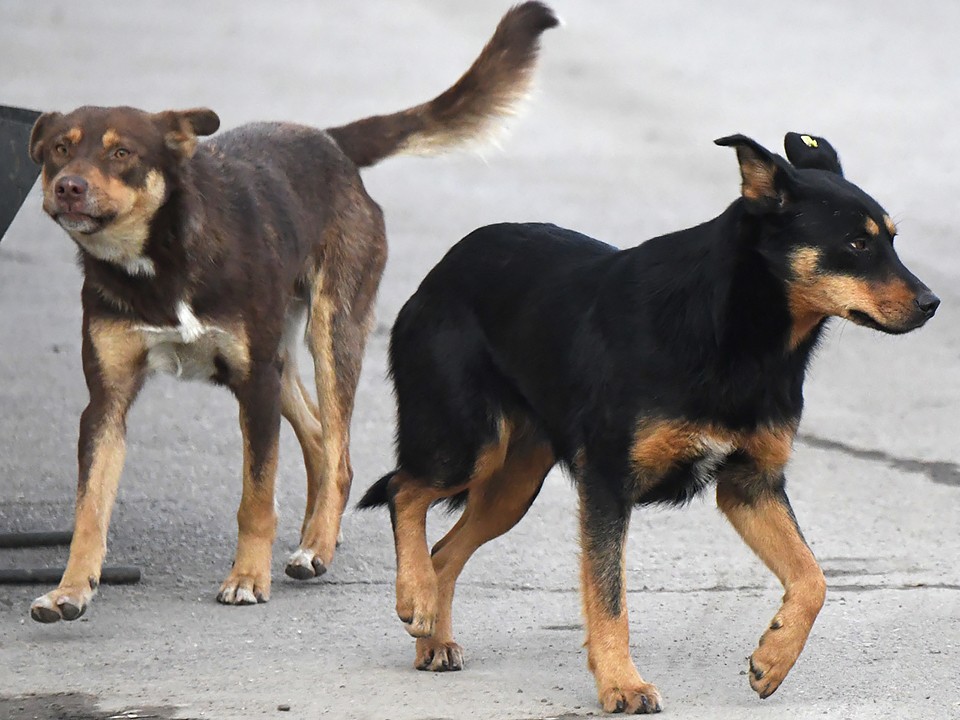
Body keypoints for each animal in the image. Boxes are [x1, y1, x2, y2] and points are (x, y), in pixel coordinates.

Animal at [24, 0, 556, 620]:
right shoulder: (107, 402)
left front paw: (247, 578)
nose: (68, 187)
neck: (161, 259)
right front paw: (70, 589)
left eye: (121, 153)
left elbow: (256, 496)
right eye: (59, 149)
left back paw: (317, 546)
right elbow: (90, 507)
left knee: (340, 451)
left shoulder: (252, 382)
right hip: (279, 358)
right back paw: (313, 534)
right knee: (322, 440)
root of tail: (330, 142)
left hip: (329, 334)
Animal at [360, 132, 936, 712]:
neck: (739, 333)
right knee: (405, 490)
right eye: (857, 244)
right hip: (466, 443)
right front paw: (622, 684)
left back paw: (432, 637)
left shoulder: (751, 485)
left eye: (891, 240)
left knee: (443, 549)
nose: (932, 304)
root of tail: (441, 271)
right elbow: (609, 597)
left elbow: (813, 577)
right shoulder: (608, 483)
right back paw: (414, 596)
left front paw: (773, 657)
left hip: (512, 486)